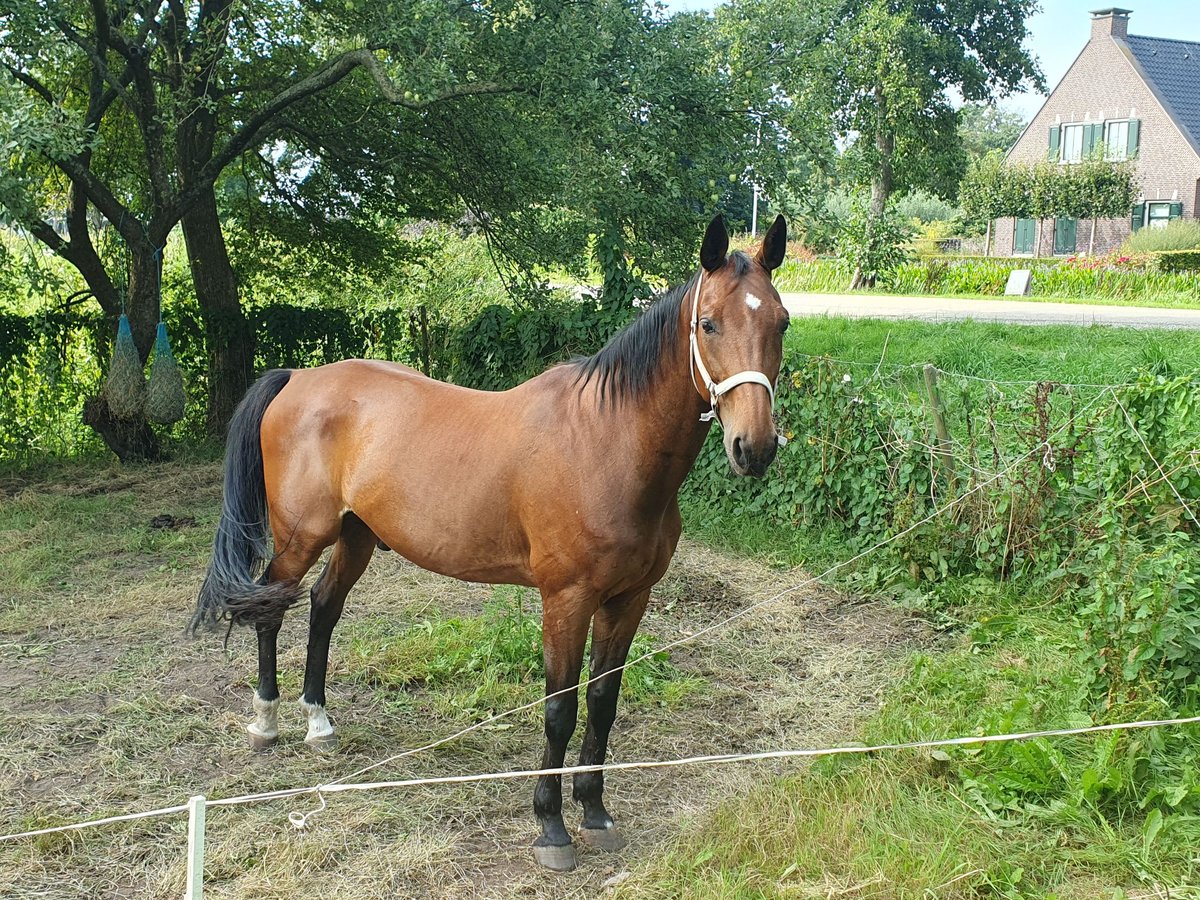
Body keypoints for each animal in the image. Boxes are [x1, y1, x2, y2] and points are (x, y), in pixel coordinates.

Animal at [193, 213, 792, 873]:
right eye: (709, 323)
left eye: (781, 322)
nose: (755, 447)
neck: (607, 442)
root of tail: (298, 378)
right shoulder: (566, 600)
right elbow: (559, 711)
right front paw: (551, 828)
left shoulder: (629, 599)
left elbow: (603, 702)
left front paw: (596, 813)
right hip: (301, 537)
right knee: (271, 611)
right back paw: (267, 722)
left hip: (358, 537)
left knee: (324, 608)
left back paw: (318, 722)